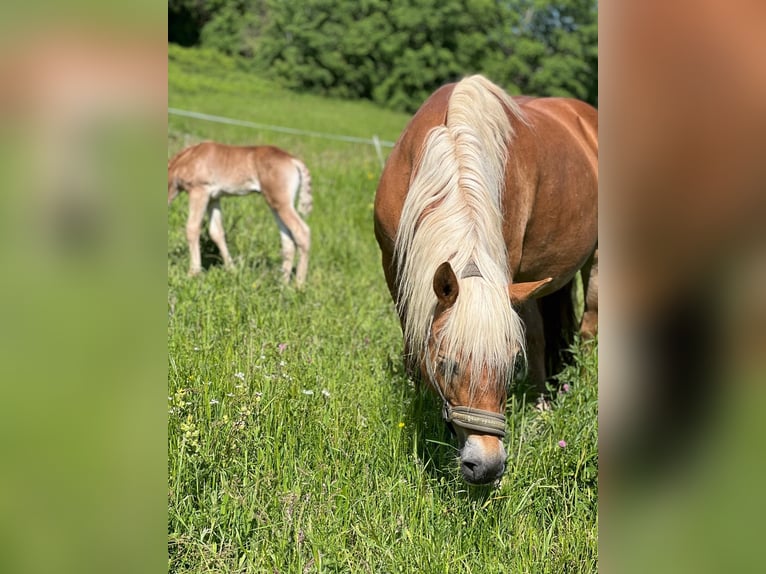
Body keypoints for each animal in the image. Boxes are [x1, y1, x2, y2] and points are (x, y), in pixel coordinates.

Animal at [167, 142, 312, 286]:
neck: (188, 157)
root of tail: (292, 160)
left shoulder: (199, 191)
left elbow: (192, 228)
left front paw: (192, 274)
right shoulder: (214, 198)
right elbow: (216, 232)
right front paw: (232, 271)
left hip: (282, 204)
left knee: (302, 231)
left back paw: (298, 285)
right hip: (275, 205)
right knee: (288, 240)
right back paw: (282, 284)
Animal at [374, 75, 600, 486]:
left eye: (510, 366)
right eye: (447, 364)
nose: (487, 466)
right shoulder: (394, 268)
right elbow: (412, 343)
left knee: (587, 327)